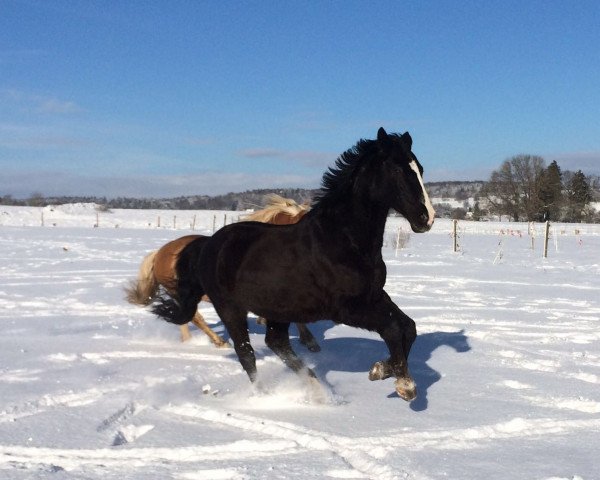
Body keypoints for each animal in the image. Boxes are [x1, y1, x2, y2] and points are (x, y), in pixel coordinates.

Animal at [154, 127, 436, 402]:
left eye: (420, 169)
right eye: (397, 170)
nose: (427, 218)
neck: (343, 239)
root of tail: (208, 244)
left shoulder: (374, 296)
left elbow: (408, 327)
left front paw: (381, 370)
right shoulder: (347, 308)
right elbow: (392, 328)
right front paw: (404, 386)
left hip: (277, 309)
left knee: (276, 342)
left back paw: (317, 391)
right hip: (230, 308)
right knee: (246, 353)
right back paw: (266, 397)